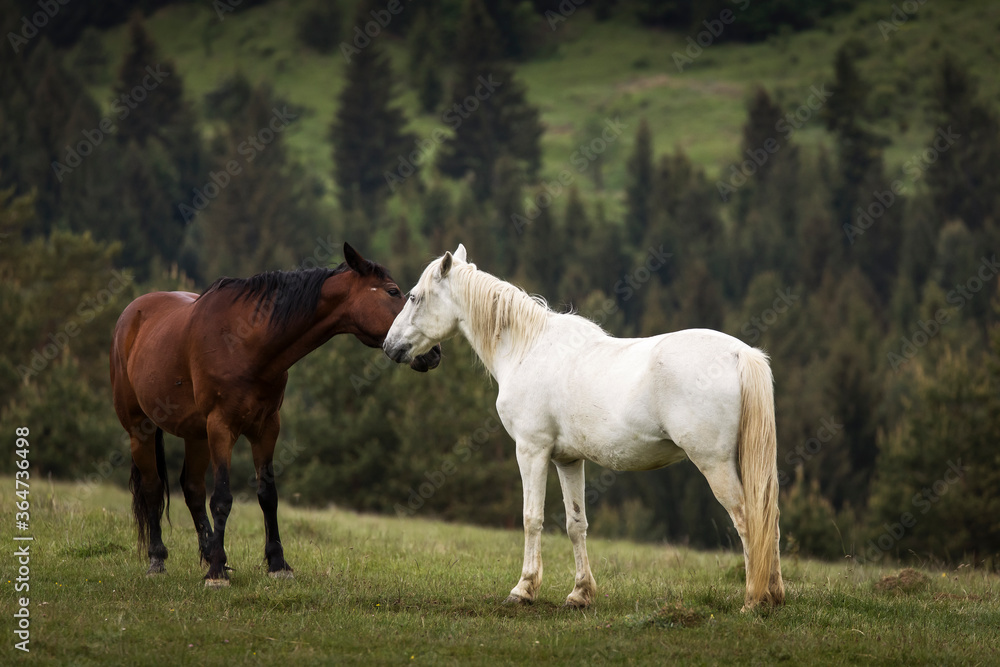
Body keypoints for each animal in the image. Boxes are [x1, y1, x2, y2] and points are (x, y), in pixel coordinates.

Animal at [109, 244, 438, 584]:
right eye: (393, 291)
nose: (433, 353)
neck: (245, 343)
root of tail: (132, 313)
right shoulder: (221, 427)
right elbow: (222, 498)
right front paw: (217, 573)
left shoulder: (266, 427)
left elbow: (267, 494)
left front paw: (276, 563)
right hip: (141, 429)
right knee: (152, 487)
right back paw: (158, 559)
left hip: (195, 435)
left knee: (192, 490)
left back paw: (210, 552)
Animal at [386, 245, 784, 612]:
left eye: (414, 296)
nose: (390, 347)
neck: (527, 348)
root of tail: (740, 354)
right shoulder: (567, 460)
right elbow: (576, 523)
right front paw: (580, 593)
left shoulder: (531, 450)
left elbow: (531, 518)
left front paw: (523, 589)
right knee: (770, 518)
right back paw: (774, 596)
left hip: (714, 463)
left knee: (747, 519)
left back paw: (752, 600)